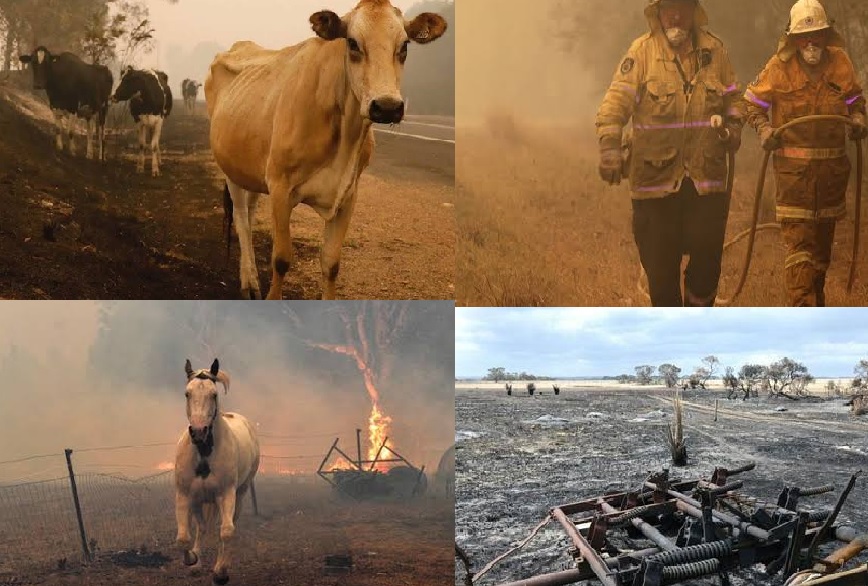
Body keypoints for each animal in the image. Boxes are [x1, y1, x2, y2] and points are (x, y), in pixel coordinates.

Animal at [174, 358, 260, 580]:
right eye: (187, 393)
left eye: (214, 394)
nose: (198, 432)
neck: (204, 454)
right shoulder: (185, 495)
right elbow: (184, 537)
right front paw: (193, 559)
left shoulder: (226, 494)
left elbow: (227, 532)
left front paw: (221, 572)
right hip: (200, 500)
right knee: (203, 527)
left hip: (240, 494)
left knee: (226, 527)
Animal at [204, 0, 448, 298]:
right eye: (352, 43)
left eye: (404, 46)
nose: (388, 106)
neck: (346, 138)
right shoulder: (280, 186)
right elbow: (281, 259)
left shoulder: (348, 195)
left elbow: (331, 263)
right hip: (229, 167)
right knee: (240, 217)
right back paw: (249, 283)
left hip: (249, 167)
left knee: (249, 213)